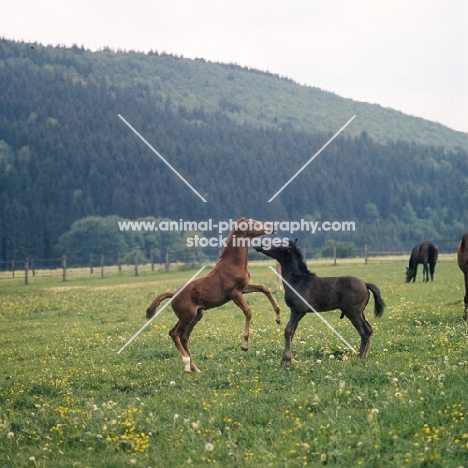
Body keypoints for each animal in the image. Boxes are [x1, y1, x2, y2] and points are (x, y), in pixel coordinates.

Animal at [144, 217, 280, 372]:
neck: (233, 264)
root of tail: (173, 295)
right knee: (174, 333)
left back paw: (196, 369)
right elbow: (248, 311)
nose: (273, 226)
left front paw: (278, 317)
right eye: (255, 223)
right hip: (186, 316)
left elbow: (265, 288)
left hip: (197, 315)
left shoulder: (244, 288)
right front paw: (244, 345)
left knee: (184, 337)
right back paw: (187, 364)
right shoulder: (234, 293)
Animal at [256, 239, 384, 364]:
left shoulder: (299, 310)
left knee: (364, 332)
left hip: (353, 312)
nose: (258, 245)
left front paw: (286, 361)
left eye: (278, 244)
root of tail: (365, 284)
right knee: (369, 330)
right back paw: (364, 359)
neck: (297, 281)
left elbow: (288, 330)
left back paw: (359, 360)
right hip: (360, 312)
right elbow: (292, 332)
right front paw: (287, 359)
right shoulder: (294, 311)